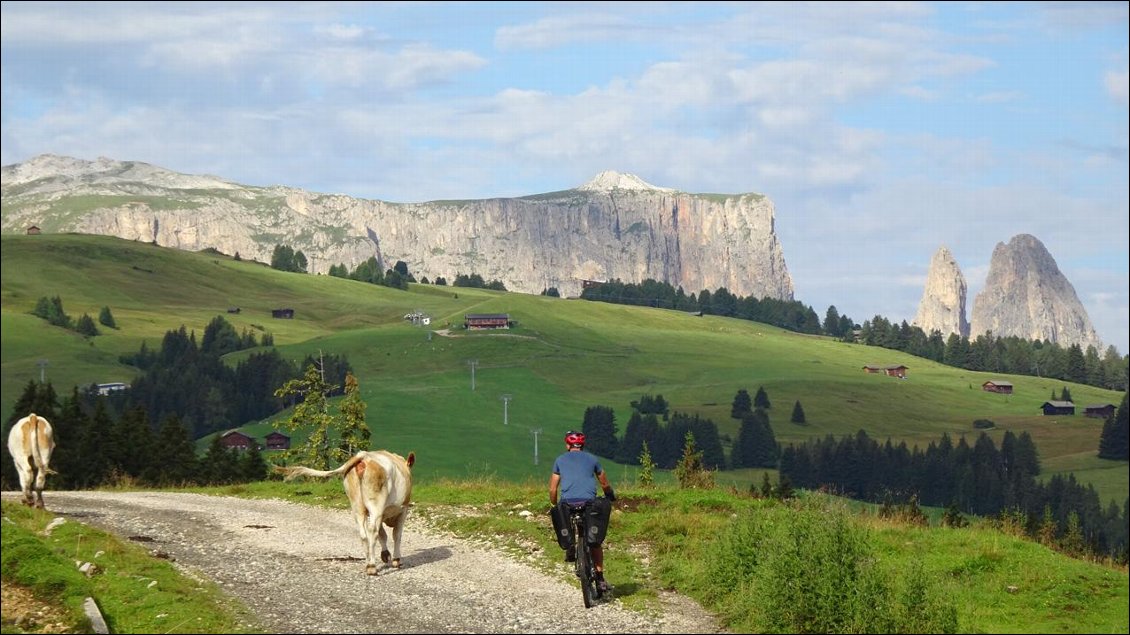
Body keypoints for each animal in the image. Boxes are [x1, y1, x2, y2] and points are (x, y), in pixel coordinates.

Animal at [275, 449, 418, 573]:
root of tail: (364, 456)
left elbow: (383, 534)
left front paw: (385, 555)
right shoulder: (403, 510)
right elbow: (396, 535)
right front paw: (396, 559)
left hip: (357, 505)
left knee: (363, 533)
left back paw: (368, 564)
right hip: (375, 505)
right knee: (372, 531)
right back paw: (372, 566)